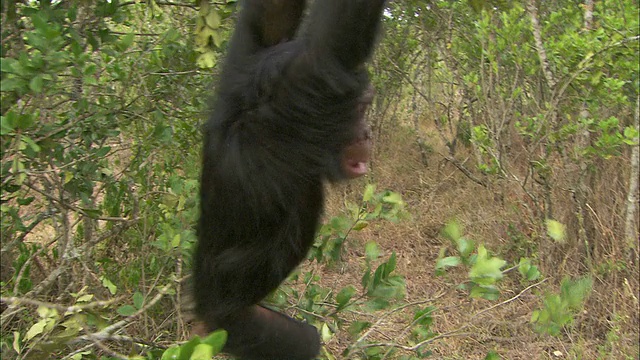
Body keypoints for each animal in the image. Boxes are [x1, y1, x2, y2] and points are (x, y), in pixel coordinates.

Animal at [194, 0, 384, 358]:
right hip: (235, 326)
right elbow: (335, 39)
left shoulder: (246, 61)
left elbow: (270, 18)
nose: (368, 133)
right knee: (303, 342)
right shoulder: (312, 81)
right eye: (363, 106)